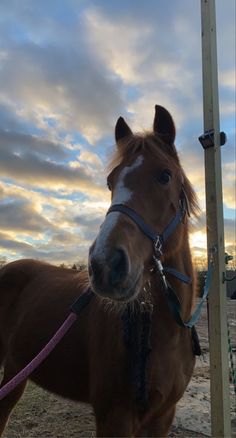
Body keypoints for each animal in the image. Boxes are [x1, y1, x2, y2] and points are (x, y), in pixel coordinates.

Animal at [0, 104, 199, 436]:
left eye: (165, 175)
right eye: (110, 181)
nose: (105, 264)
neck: (166, 333)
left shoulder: (162, 417)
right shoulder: (113, 417)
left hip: (16, 368)